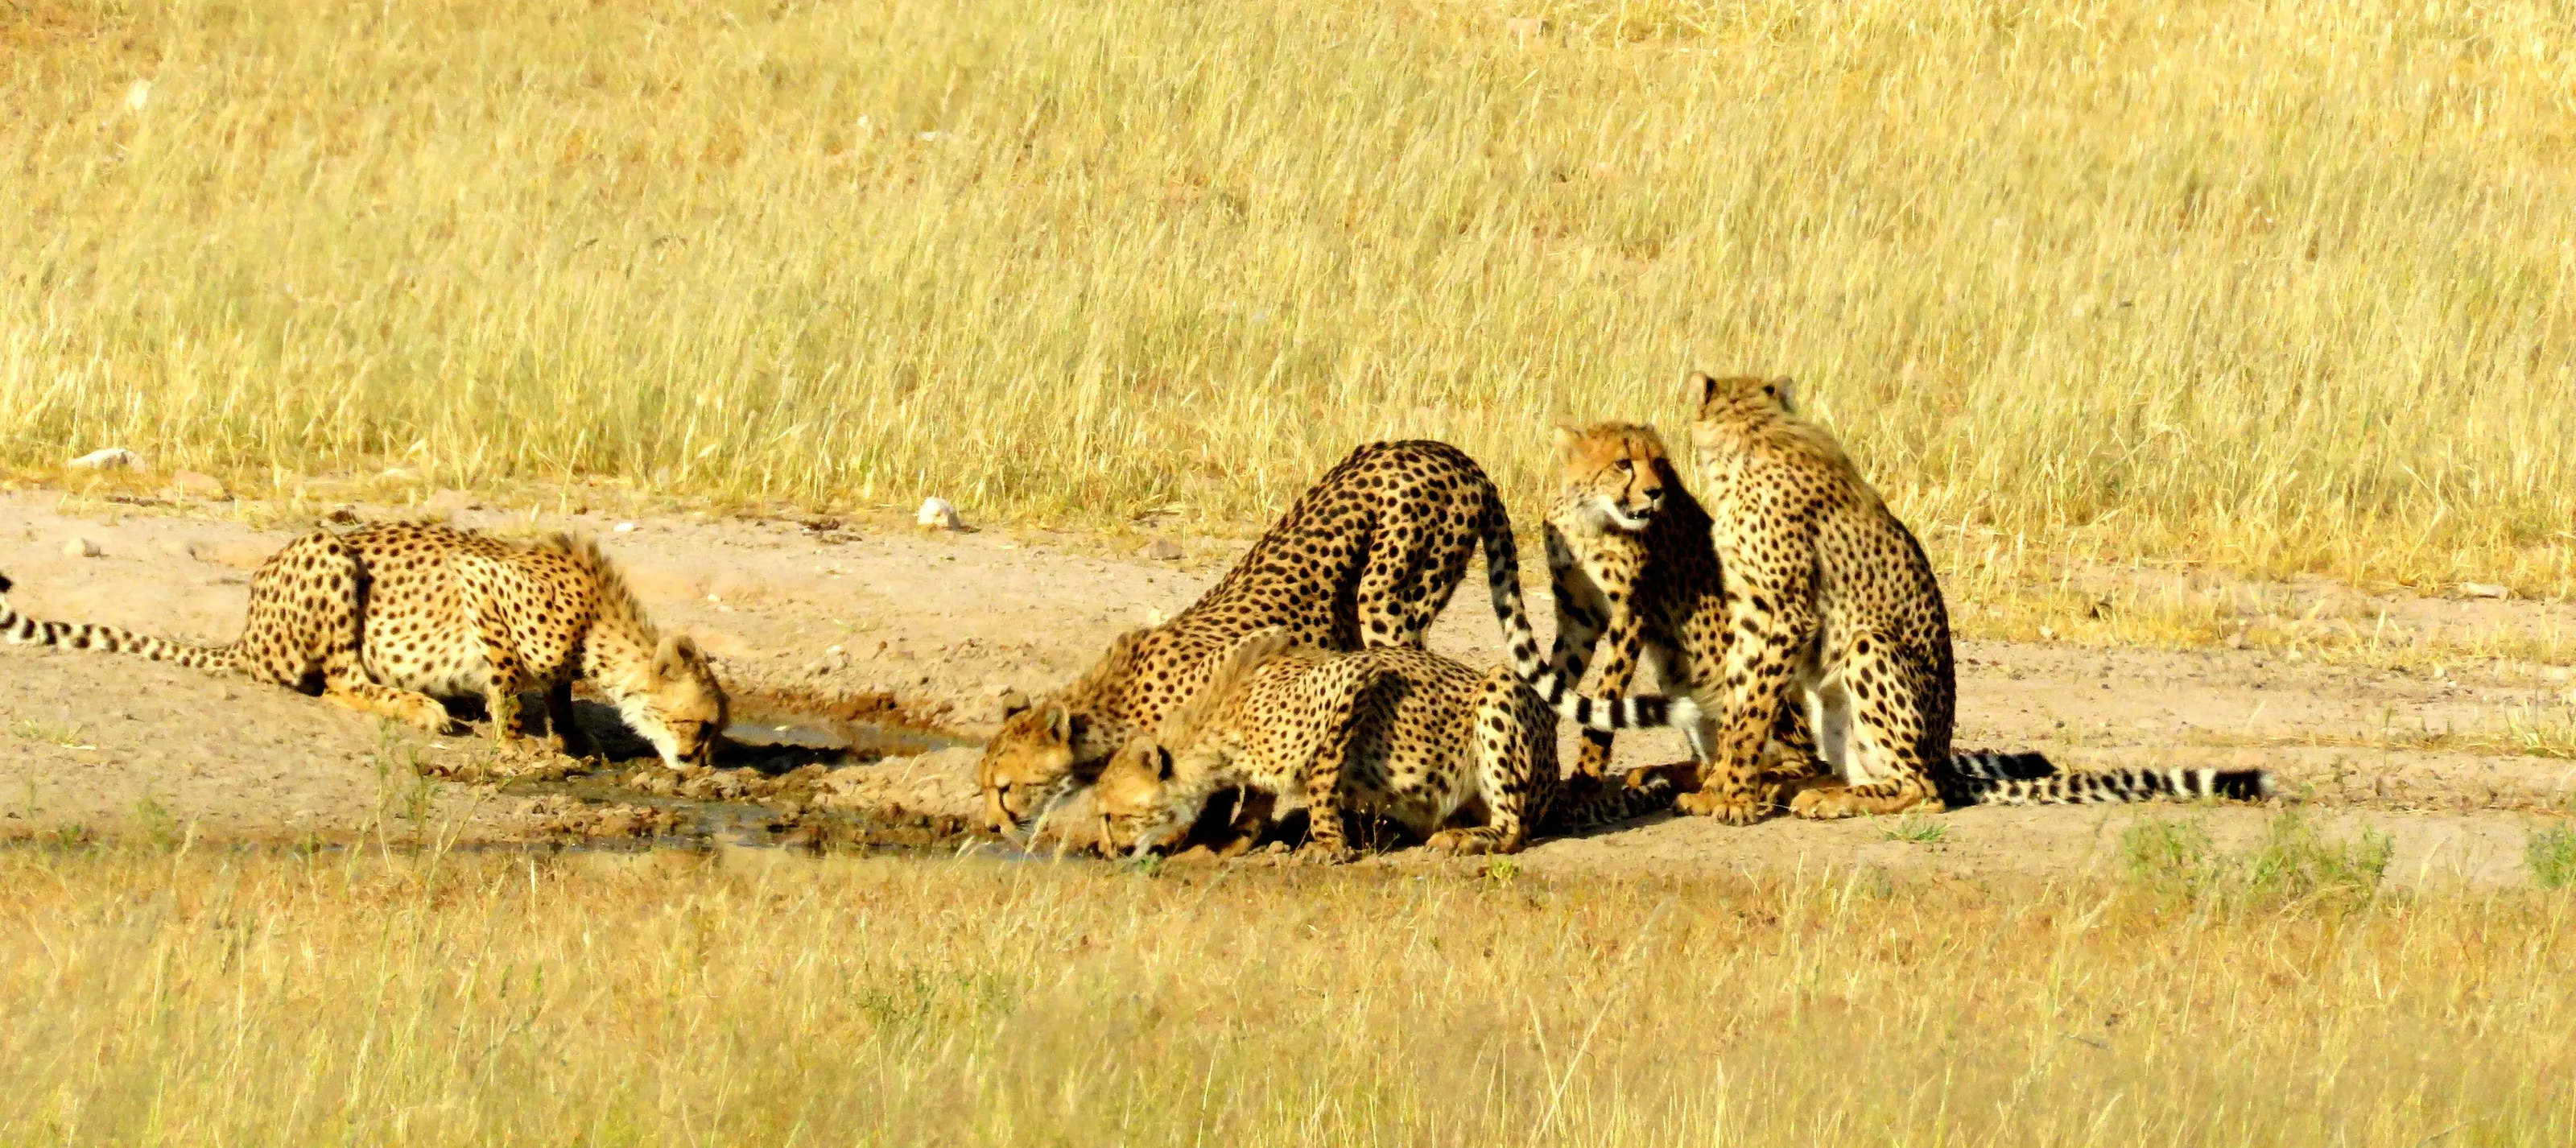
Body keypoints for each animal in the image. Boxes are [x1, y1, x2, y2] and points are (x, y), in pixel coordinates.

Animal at [0, 522, 728, 770]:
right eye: (698, 725)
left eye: (715, 731)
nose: (697, 763)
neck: (600, 622)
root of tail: (245, 635)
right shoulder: (481, 583)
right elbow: (507, 680)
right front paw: (516, 742)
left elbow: (558, 692)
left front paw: (572, 737)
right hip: (331, 553)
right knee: (339, 684)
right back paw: (420, 708)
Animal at [1089, 628, 1686, 862]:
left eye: (1113, 815)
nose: (1106, 849)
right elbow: (1261, 796)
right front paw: (1235, 839)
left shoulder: (1354, 677)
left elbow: (1322, 779)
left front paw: (1327, 845)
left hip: (1501, 689)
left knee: (1515, 829)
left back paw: (1463, 838)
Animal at [1677, 373, 2265, 822]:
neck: (1753, 435)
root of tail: (1944, 762)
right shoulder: (1751, 613)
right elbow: (1739, 700)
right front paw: (1721, 787)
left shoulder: (1784, 614)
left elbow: (1753, 707)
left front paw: (1730, 798)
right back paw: (1814, 788)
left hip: (1870, 647)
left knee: (1924, 792)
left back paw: (1829, 799)